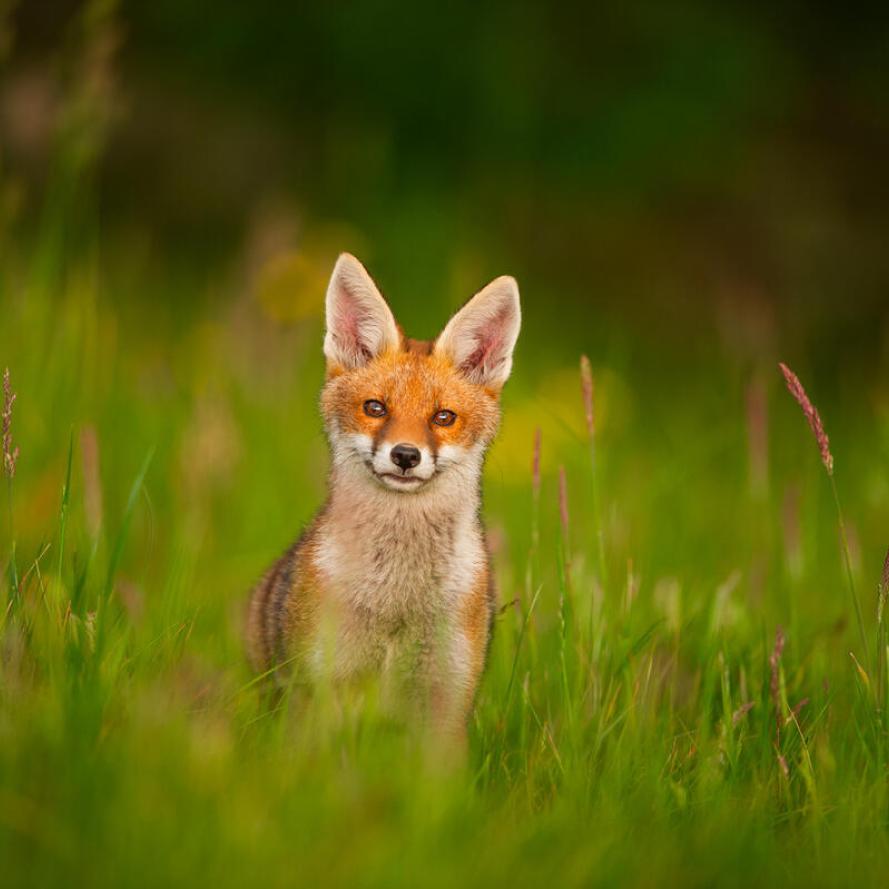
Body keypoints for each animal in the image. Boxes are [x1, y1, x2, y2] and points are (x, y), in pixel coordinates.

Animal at [246, 252, 521, 741]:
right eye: (375, 408)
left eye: (443, 417)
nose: (406, 455)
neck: (397, 599)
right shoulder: (320, 690)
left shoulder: (446, 700)